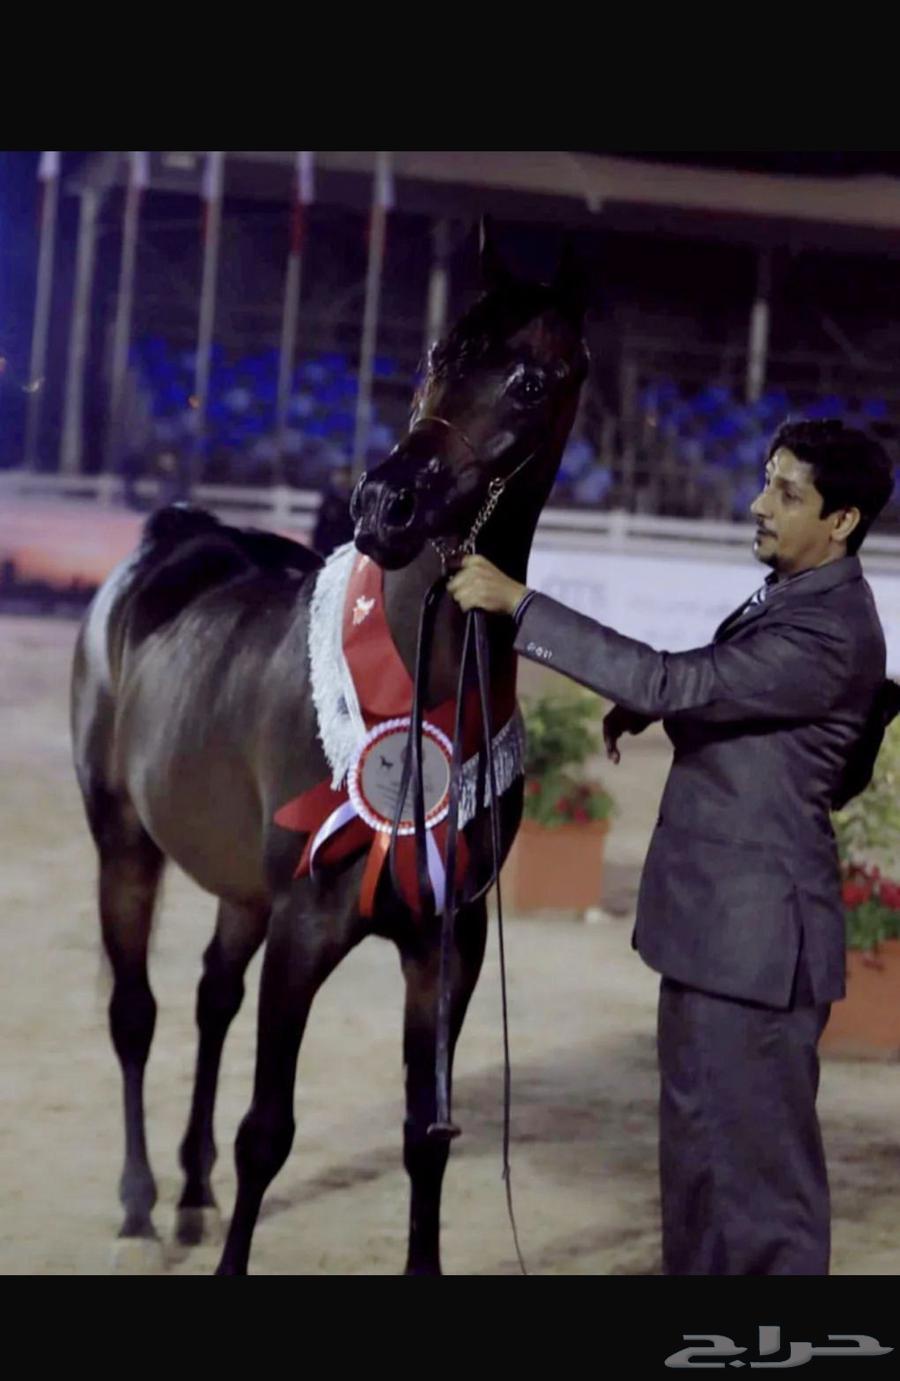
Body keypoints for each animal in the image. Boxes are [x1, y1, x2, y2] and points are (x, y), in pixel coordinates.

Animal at [70, 221, 590, 1275]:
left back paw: (190, 1193)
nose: (387, 504)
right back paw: (142, 1201)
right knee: (136, 1014)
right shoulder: (306, 926)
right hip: (125, 846)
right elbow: (266, 1131)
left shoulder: (447, 942)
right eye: (435, 355)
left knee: (211, 995)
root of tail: (170, 542)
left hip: (238, 888)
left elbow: (426, 1135)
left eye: (528, 378)